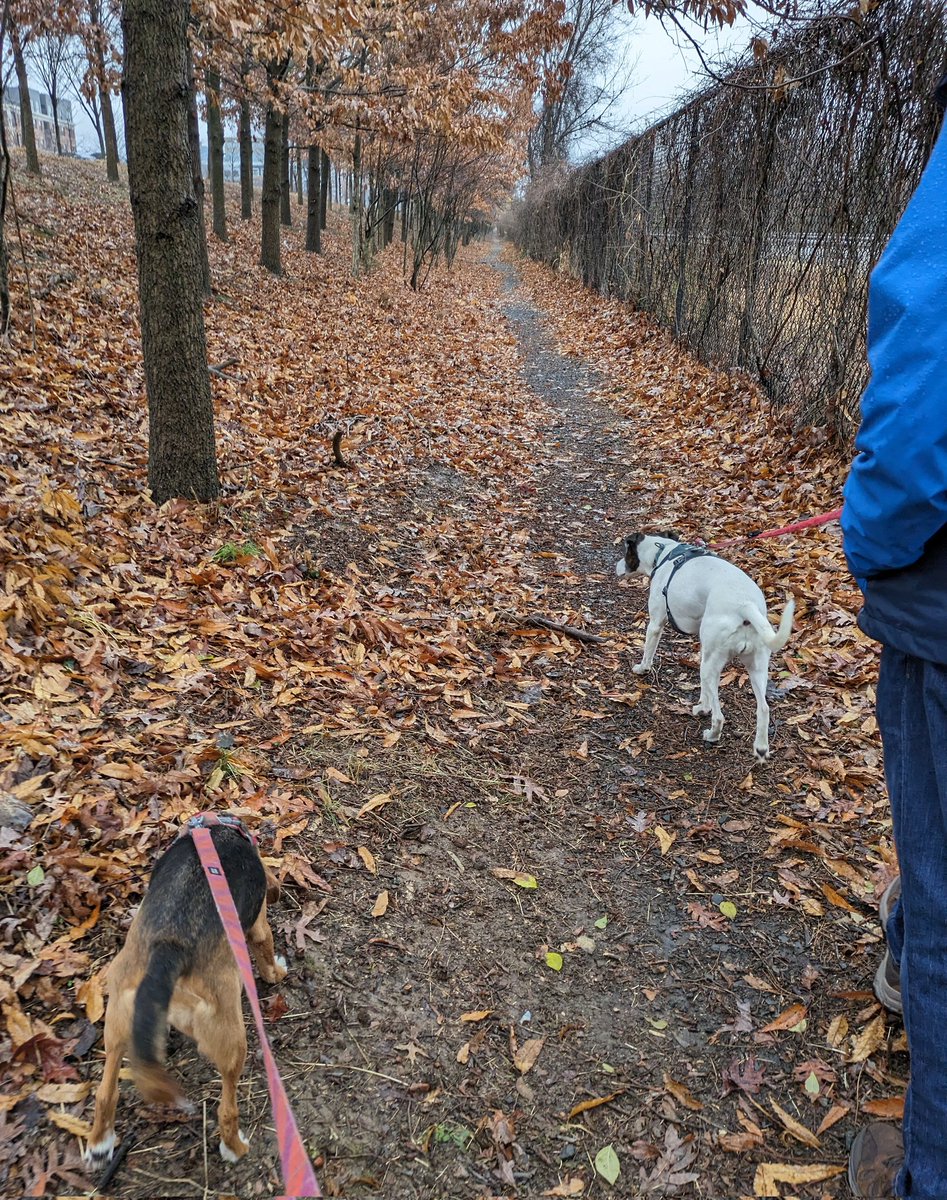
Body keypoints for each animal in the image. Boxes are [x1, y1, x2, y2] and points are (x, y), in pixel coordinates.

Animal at [84, 820, 284, 1166]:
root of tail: (169, 949)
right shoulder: (259, 928)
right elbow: (267, 955)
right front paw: (278, 972)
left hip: (118, 1022)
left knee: (105, 1092)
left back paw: (100, 1143)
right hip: (231, 1040)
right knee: (226, 1109)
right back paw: (235, 1148)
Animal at [619, 532, 792, 758]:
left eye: (626, 552)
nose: (617, 567)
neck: (665, 553)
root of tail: (745, 606)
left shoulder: (656, 623)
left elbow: (649, 650)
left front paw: (642, 668)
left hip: (710, 666)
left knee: (718, 715)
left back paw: (710, 731)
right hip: (756, 666)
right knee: (763, 709)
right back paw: (761, 748)